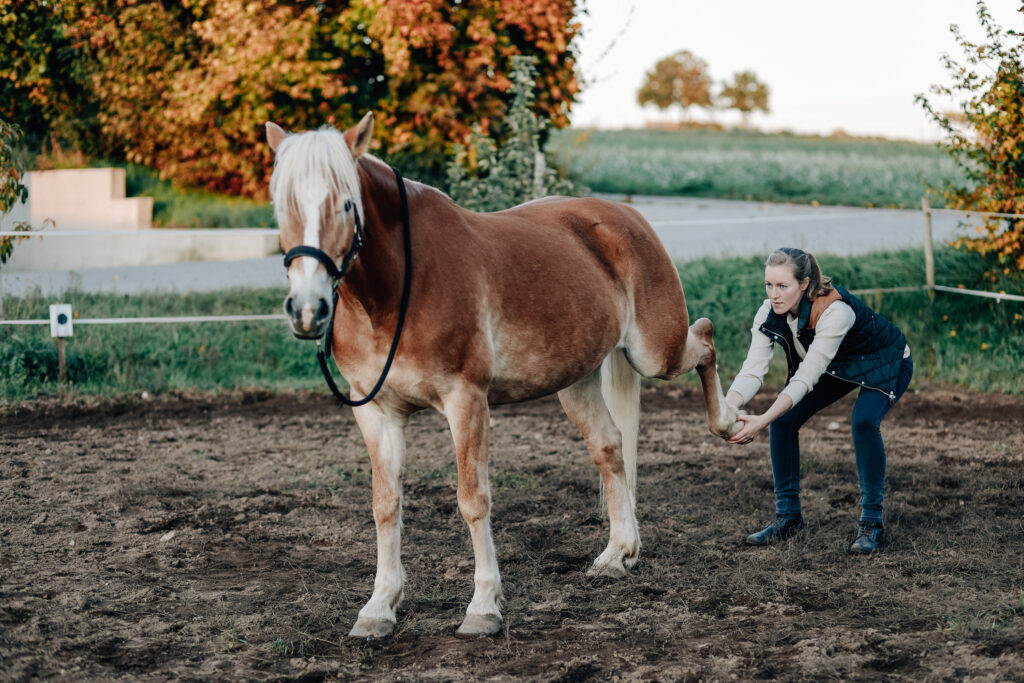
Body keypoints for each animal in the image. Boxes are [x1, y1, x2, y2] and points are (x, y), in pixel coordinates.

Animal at [268, 113, 741, 643]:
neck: (397, 289)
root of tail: (623, 216)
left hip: (654, 352)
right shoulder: (375, 412)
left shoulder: (466, 401)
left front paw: (483, 607)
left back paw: (728, 423)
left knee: (705, 339)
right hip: (576, 381)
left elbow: (473, 500)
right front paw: (379, 608)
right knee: (609, 448)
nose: (307, 309)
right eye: (281, 204)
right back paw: (617, 553)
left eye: (346, 203)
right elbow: (385, 505)